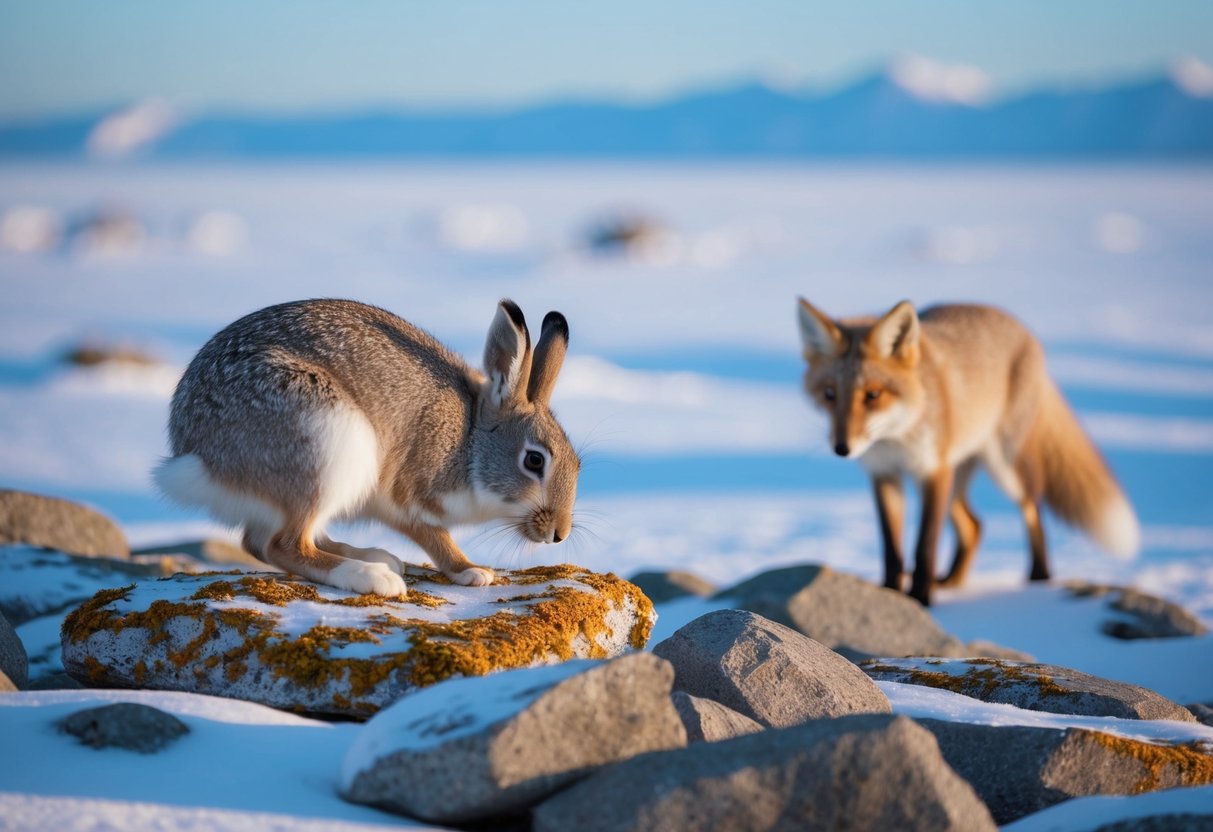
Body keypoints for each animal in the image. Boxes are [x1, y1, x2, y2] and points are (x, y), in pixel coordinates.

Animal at [153, 298, 580, 597]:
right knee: (281, 544)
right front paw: (472, 571)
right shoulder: (409, 495)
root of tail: (198, 454)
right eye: (534, 460)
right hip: (326, 445)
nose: (559, 534)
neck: (470, 442)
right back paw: (372, 577)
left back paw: (380, 558)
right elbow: (435, 536)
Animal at [796, 298, 1140, 606]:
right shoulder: (884, 475)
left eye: (872, 395)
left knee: (1031, 507)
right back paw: (952, 582)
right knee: (975, 526)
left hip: (1004, 469)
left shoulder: (933, 472)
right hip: (958, 481)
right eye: (829, 394)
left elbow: (924, 546)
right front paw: (892, 595)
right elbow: (892, 550)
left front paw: (921, 599)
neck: (896, 436)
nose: (842, 448)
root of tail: (1015, 322)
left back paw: (1038, 579)